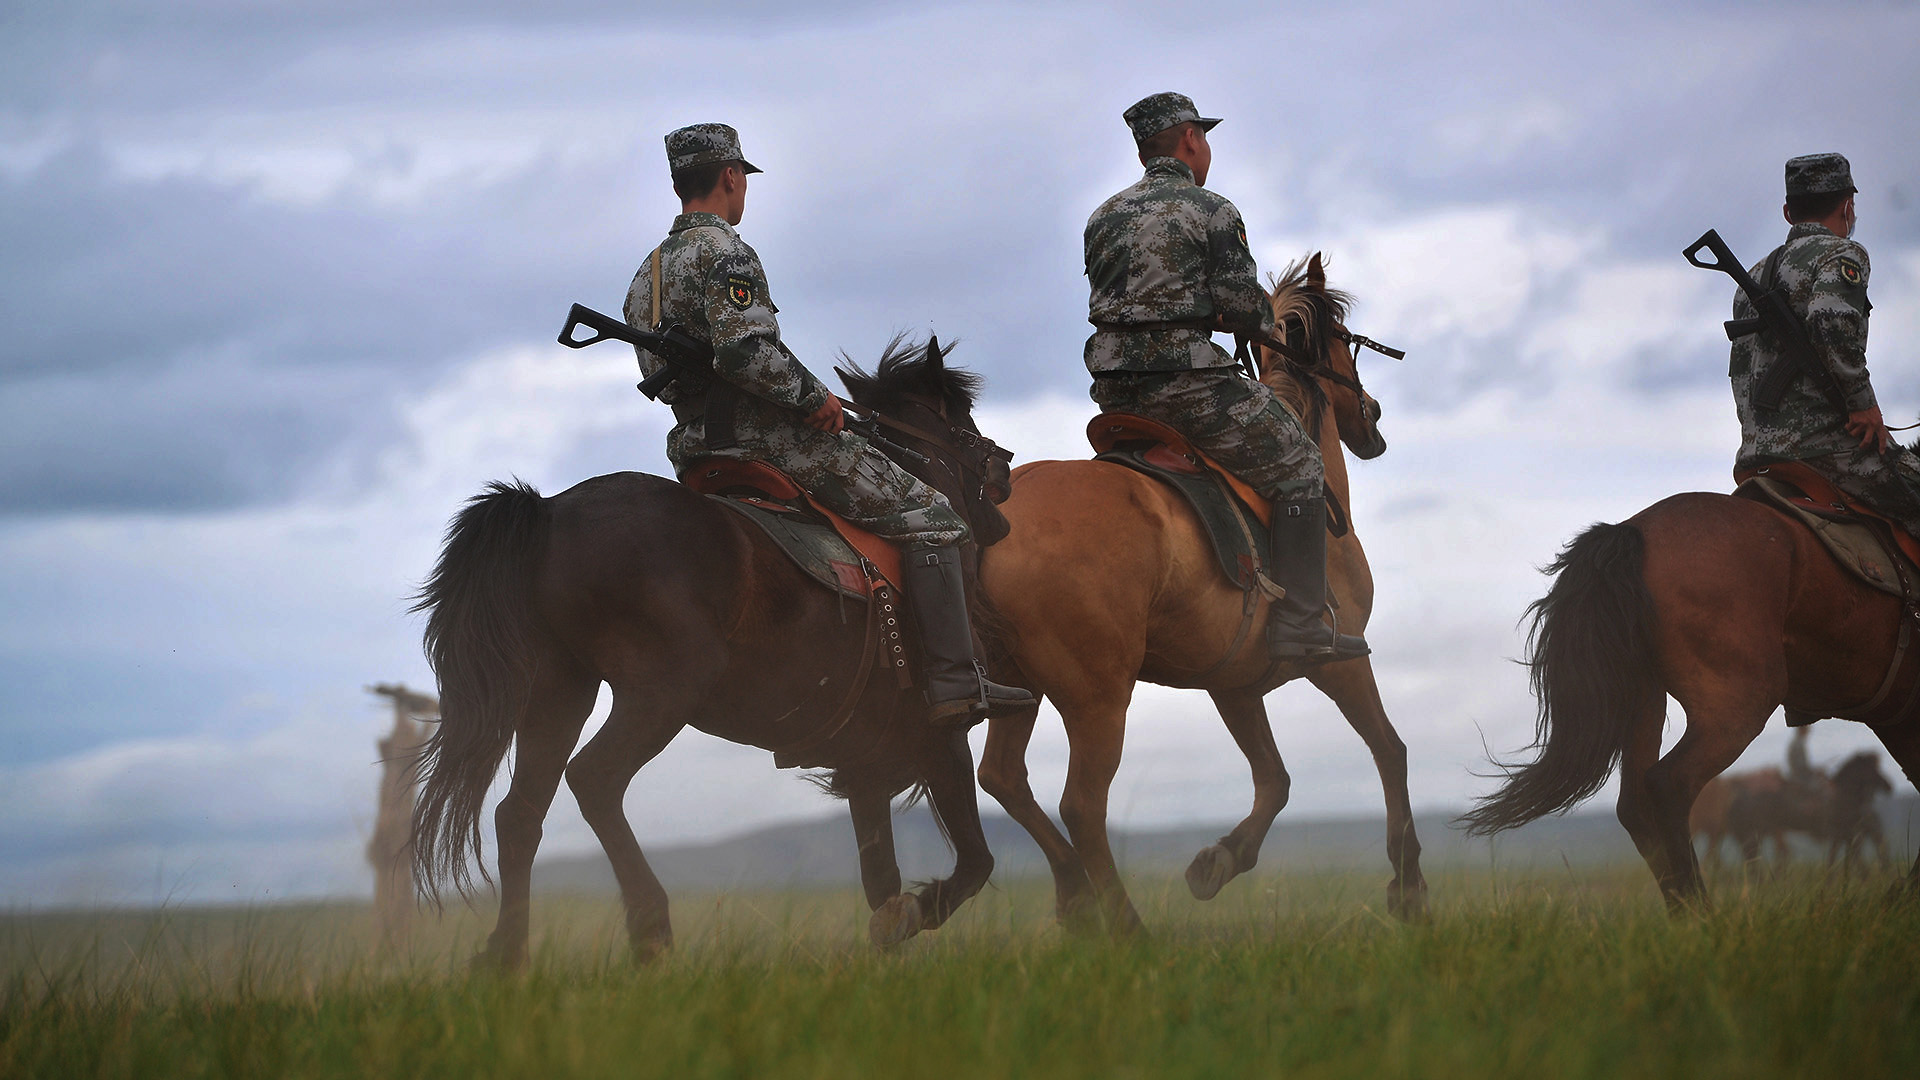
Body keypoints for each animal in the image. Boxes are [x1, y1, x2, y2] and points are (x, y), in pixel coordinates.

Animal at [412, 336, 1021, 957]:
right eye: (959, 413)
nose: (1004, 465)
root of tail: (551, 510)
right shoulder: (940, 737)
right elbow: (974, 863)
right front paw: (914, 913)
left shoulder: (864, 760)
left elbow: (882, 882)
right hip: (663, 693)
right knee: (595, 780)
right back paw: (649, 923)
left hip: (558, 693)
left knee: (520, 812)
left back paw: (505, 953)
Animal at [975, 251, 1428, 926]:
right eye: (1346, 342)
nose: (1371, 416)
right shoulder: (1340, 658)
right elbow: (1389, 750)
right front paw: (1409, 883)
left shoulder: (1233, 682)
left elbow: (1274, 780)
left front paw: (1219, 861)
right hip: (1097, 698)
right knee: (1080, 804)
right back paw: (1125, 925)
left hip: (1019, 685)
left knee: (1004, 779)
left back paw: (1075, 898)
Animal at [1459, 491, 1920, 903]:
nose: (1884, 787)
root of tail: (1632, 530)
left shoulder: (1896, 719)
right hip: (1736, 706)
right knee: (1670, 784)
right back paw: (1703, 916)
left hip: (1645, 700)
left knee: (1635, 806)